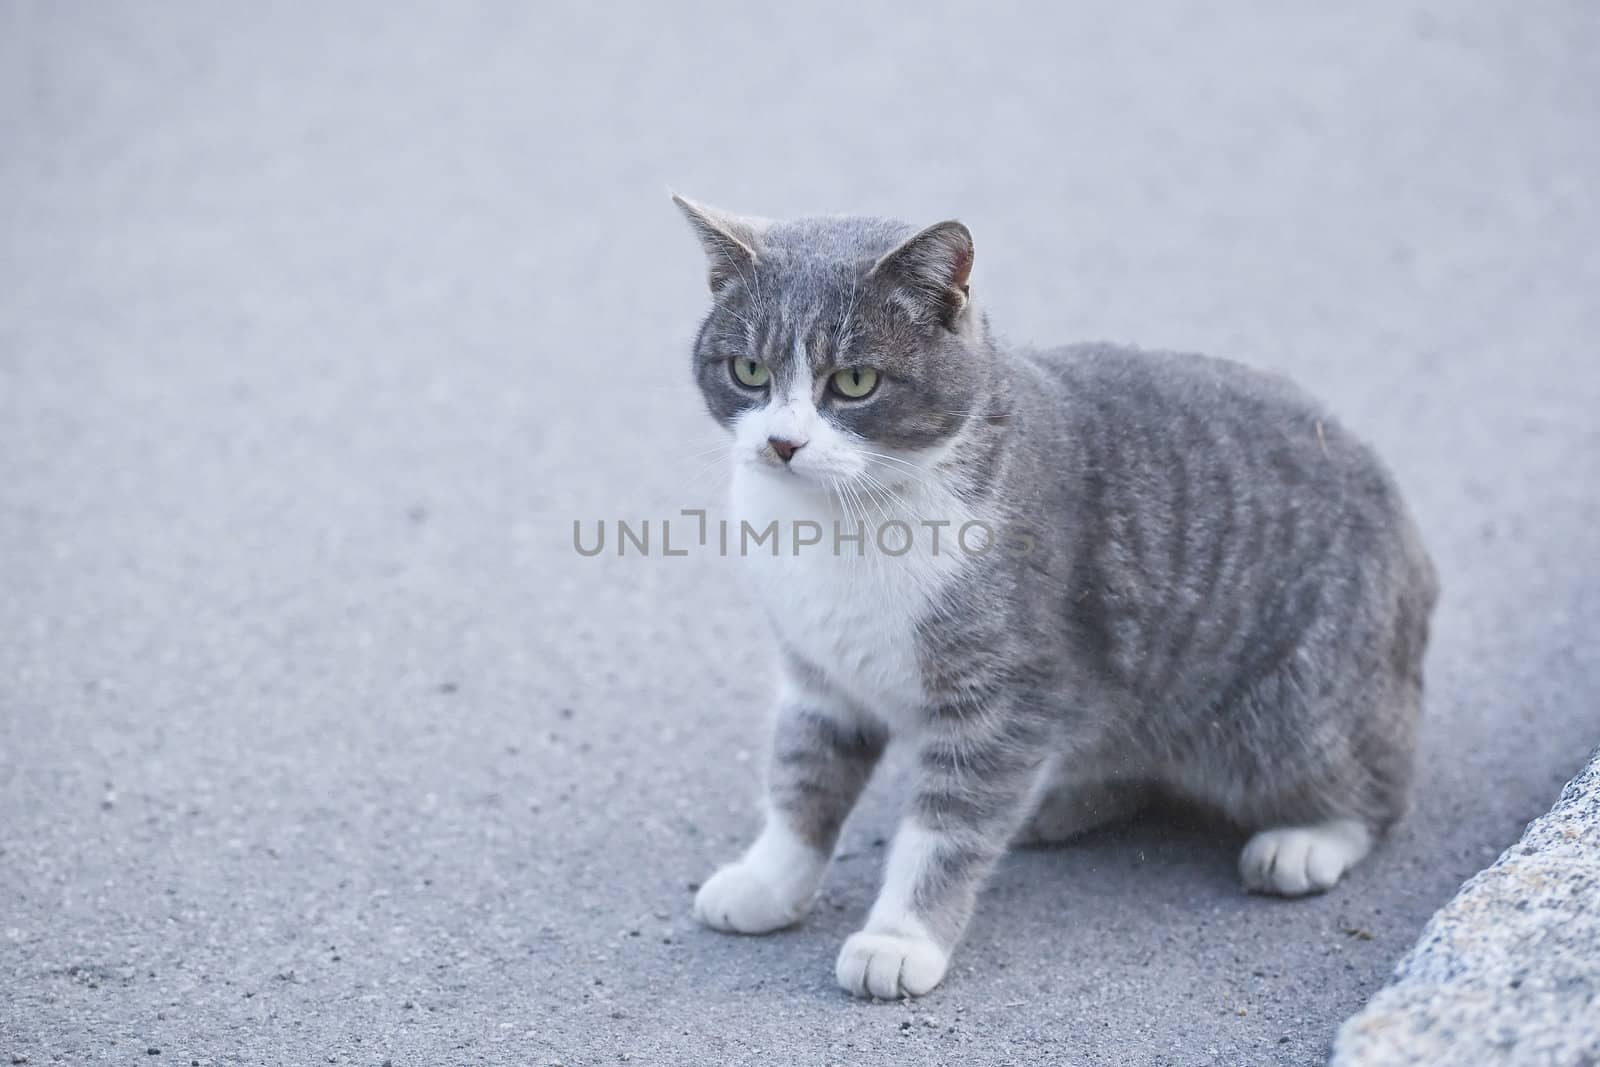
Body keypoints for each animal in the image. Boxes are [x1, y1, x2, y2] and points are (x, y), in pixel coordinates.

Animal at [672, 194, 1440, 1004]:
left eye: (854, 382)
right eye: (748, 370)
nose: (782, 444)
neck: (839, 522)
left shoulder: (1006, 697)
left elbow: (945, 831)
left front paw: (899, 938)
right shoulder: (821, 681)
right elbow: (800, 784)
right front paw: (768, 882)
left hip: (1296, 706)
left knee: (1377, 790)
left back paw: (1305, 840)